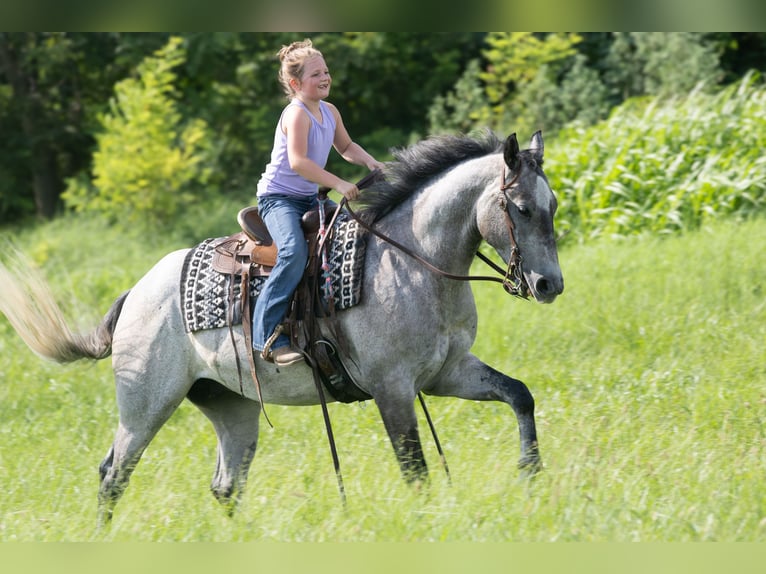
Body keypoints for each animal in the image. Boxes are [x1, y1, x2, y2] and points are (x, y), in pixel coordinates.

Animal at [0, 130, 563, 525]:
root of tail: (134, 296)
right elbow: (415, 470)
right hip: (144, 408)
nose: (549, 284)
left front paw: (531, 475)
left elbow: (519, 394)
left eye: (554, 206)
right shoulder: (394, 388)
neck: (411, 259)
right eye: (520, 207)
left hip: (232, 408)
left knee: (226, 486)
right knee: (113, 476)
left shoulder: (447, 372)